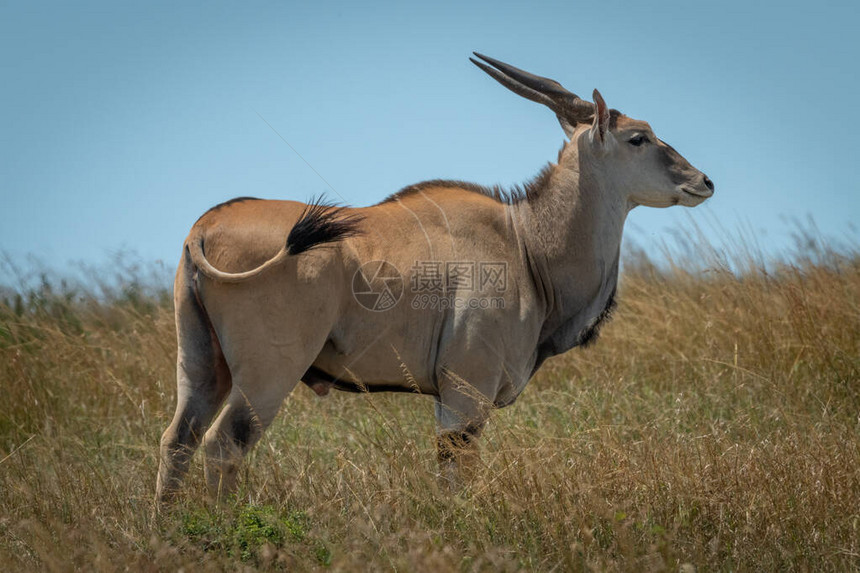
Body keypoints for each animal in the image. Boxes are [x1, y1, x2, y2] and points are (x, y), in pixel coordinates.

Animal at [153, 53, 712, 500]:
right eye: (638, 138)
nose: (704, 181)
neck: (525, 242)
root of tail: (205, 226)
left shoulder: (453, 399)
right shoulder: (465, 395)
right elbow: (455, 479)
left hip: (202, 367)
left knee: (177, 440)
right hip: (268, 374)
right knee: (223, 445)